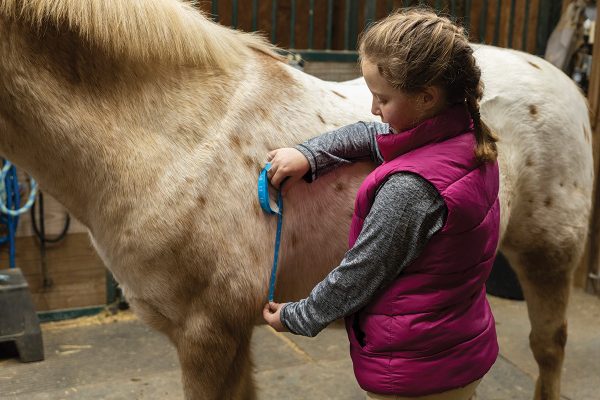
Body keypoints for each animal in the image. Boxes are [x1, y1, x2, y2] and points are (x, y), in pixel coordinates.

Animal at [0, 0, 592, 400]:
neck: (178, 138)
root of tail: (562, 78)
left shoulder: (207, 334)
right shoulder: (227, 335)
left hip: (548, 253)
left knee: (550, 346)